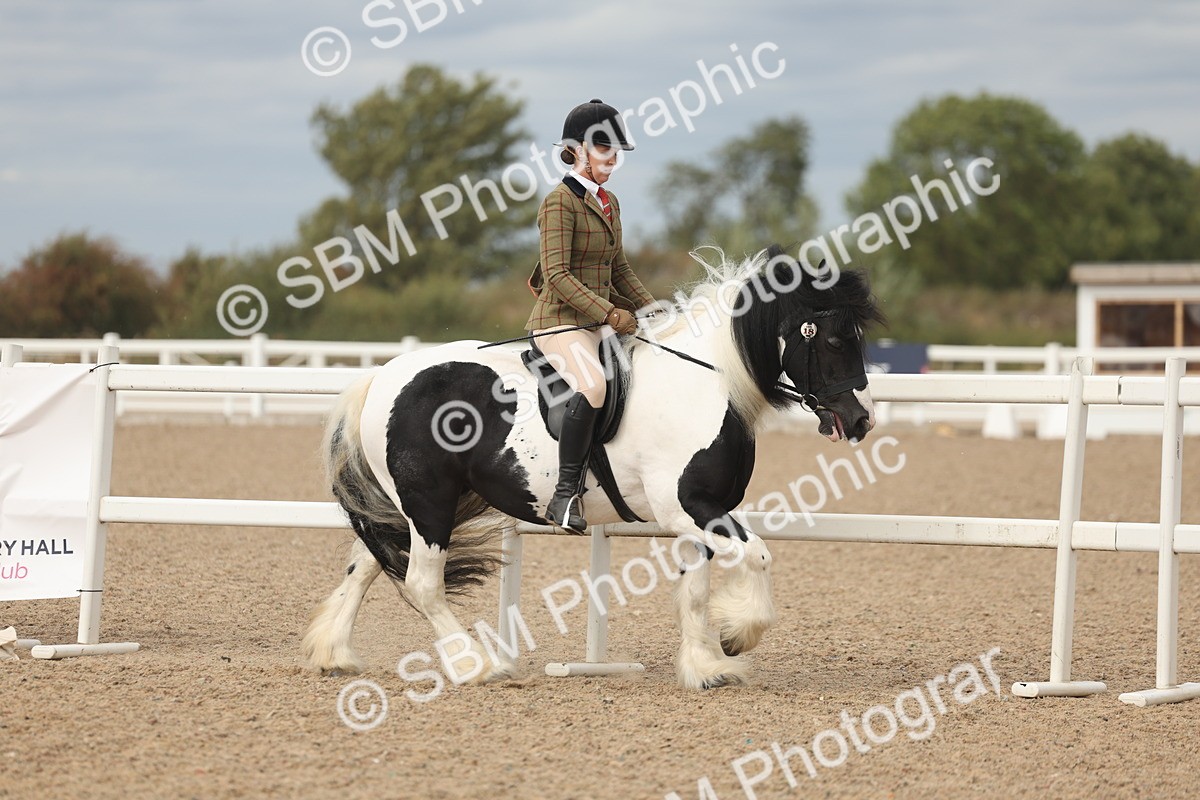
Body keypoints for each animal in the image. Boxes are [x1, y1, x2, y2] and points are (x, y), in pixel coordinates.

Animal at [302, 245, 884, 689]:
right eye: (835, 339)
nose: (861, 420)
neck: (705, 382)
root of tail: (382, 375)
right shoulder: (689, 507)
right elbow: (759, 555)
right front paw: (736, 635)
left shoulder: (700, 514)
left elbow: (696, 592)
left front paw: (706, 667)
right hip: (430, 501)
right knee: (422, 582)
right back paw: (476, 666)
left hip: (426, 503)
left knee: (366, 563)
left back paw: (334, 653)